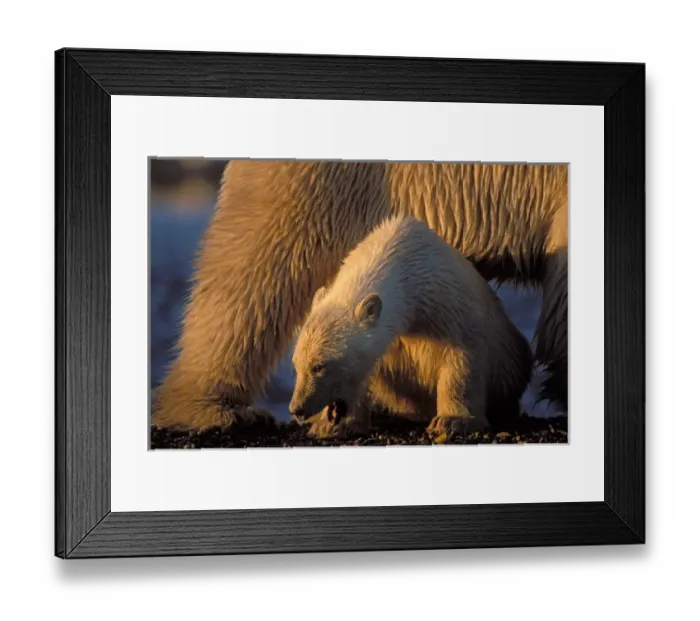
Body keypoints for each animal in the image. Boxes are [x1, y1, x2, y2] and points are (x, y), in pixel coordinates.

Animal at [288, 215, 533, 440]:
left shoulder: (448, 306)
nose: (297, 409)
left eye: (319, 366)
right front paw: (332, 425)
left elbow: (462, 357)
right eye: (296, 365)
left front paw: (451, 421)